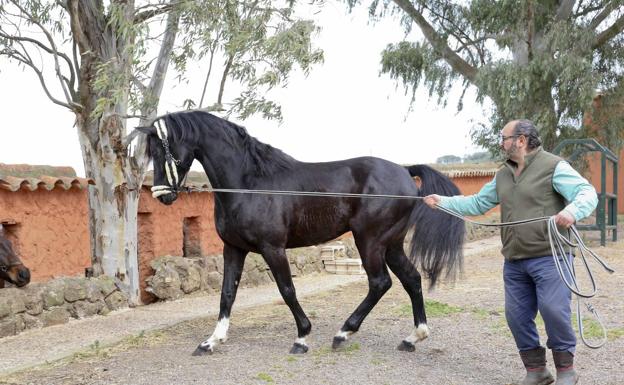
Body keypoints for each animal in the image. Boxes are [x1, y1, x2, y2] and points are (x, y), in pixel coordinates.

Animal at [138, 110, 464, 354]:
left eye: (164, 149)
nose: (162, 195)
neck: (249, 183)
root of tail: (405, 171)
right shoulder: (234, 248)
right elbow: (227, 293)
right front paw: (211, 341)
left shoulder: (272, 248)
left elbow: (286, 290)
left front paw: (302, 337)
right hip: (391, 244)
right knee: (411, 279)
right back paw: (412, 337)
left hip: (370, 241)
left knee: (380, 282)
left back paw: (343, 333)